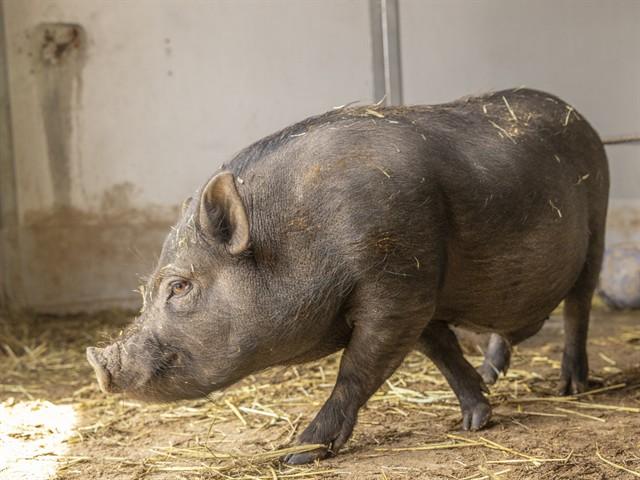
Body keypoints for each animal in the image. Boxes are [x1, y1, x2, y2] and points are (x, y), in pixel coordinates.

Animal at [87, 88, 609, 464]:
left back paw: (572, 387)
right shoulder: (421, 294)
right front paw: (476, 417)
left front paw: (296, 455)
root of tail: (580, 117)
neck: (304, 232)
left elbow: (355, 370)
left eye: (179, 286)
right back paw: (492, 374)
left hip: (597, 224)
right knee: (508, 332)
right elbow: (441, 350)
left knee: (579, 308)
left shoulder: (398, 290)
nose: (100, 364)